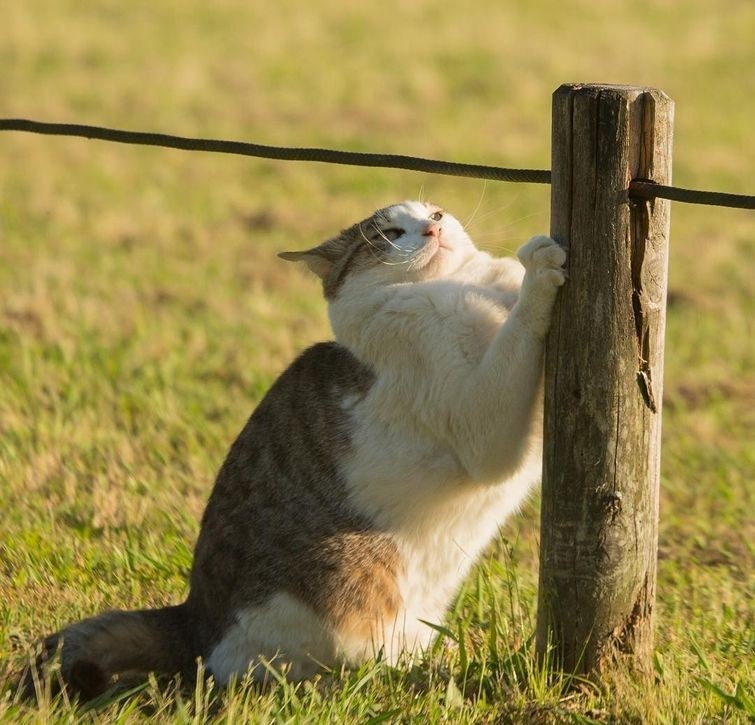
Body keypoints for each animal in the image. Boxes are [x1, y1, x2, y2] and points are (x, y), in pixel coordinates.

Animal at [20, 201, 568, 700]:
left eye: (434, 213)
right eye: (390, 233)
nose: (433, 228)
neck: (446, 287)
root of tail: (191, 618)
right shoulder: (484, 431)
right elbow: (516, 334)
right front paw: (538, 276)